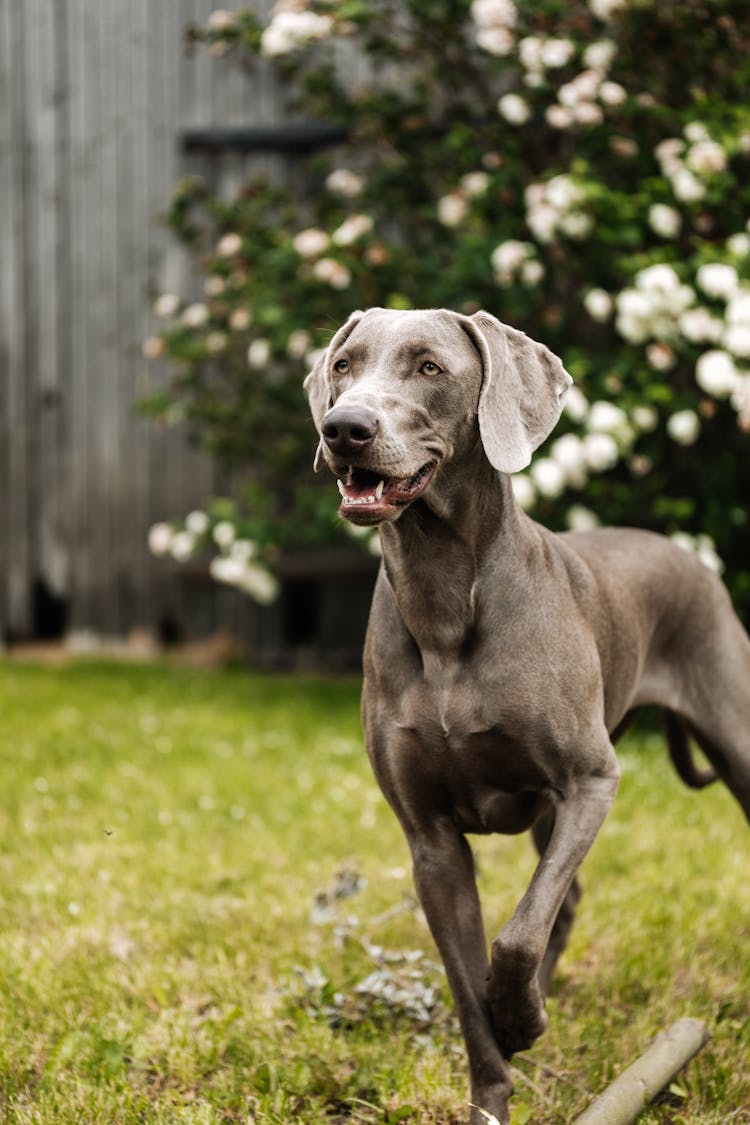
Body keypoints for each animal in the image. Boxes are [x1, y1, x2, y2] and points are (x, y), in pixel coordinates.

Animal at [301, 308, 746, 1125]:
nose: (343, 426)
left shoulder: (590, 781)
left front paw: (521, 1015)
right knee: (565, 903)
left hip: (731, 738)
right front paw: (499, 1064)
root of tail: (688, 556)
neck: (444, 596)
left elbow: (517, 933)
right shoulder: (431, 841)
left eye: (430, 368)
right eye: (343, 365)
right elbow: (472, 978)